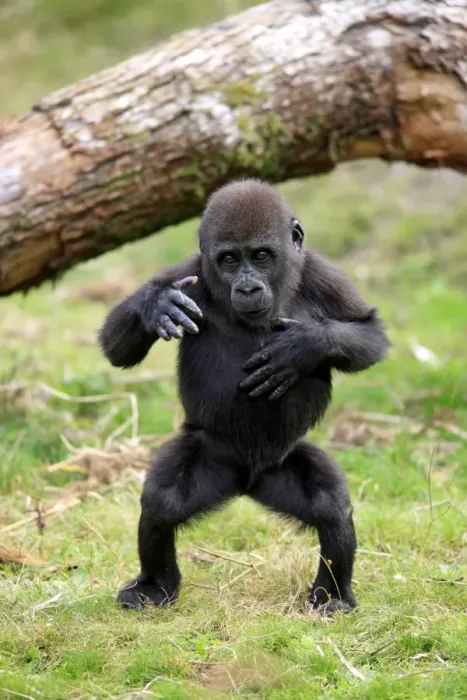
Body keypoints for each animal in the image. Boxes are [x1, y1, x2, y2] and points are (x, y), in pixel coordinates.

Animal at [99, 179, 389, 613]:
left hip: (281, 466)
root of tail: (247, 481)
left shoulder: (323, 274)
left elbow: (368, 333)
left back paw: (334, 593)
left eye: (261, 255)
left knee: (331, 507)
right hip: (212, 456)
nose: (248, 286)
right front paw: (154, 304)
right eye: (229, 260)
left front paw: (303, 346)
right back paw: (154, 586)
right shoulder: (187, 273)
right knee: (163, 501)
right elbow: (117, 347)